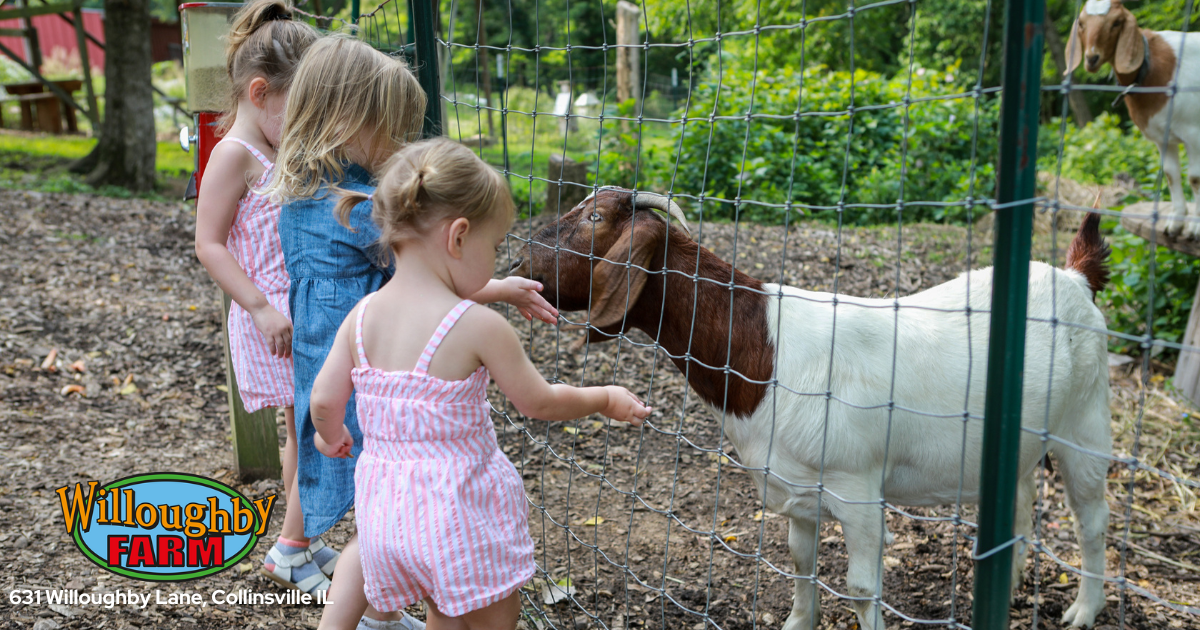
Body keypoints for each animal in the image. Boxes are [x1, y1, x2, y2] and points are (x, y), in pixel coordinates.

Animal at [513, 187, 1113, 628]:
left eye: (594, 218)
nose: (518, 257)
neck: (766, 355)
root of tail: (1075, 276)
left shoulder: (859, 489)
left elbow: (863, 587)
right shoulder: (796, 487)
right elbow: (801, 559)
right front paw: (798, 621)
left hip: (1086, 425)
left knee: (1091, 518)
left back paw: (1083, 610)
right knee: (1020, 498)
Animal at [1075, 0, 1200, 235]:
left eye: (1116, 22)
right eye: (1081, 23)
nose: (1092, 58)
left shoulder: (1193, 135)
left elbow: (1195, 178)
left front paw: (1194, 228)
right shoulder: (1163, 137)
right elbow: (1171, 174)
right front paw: (1175, 222)